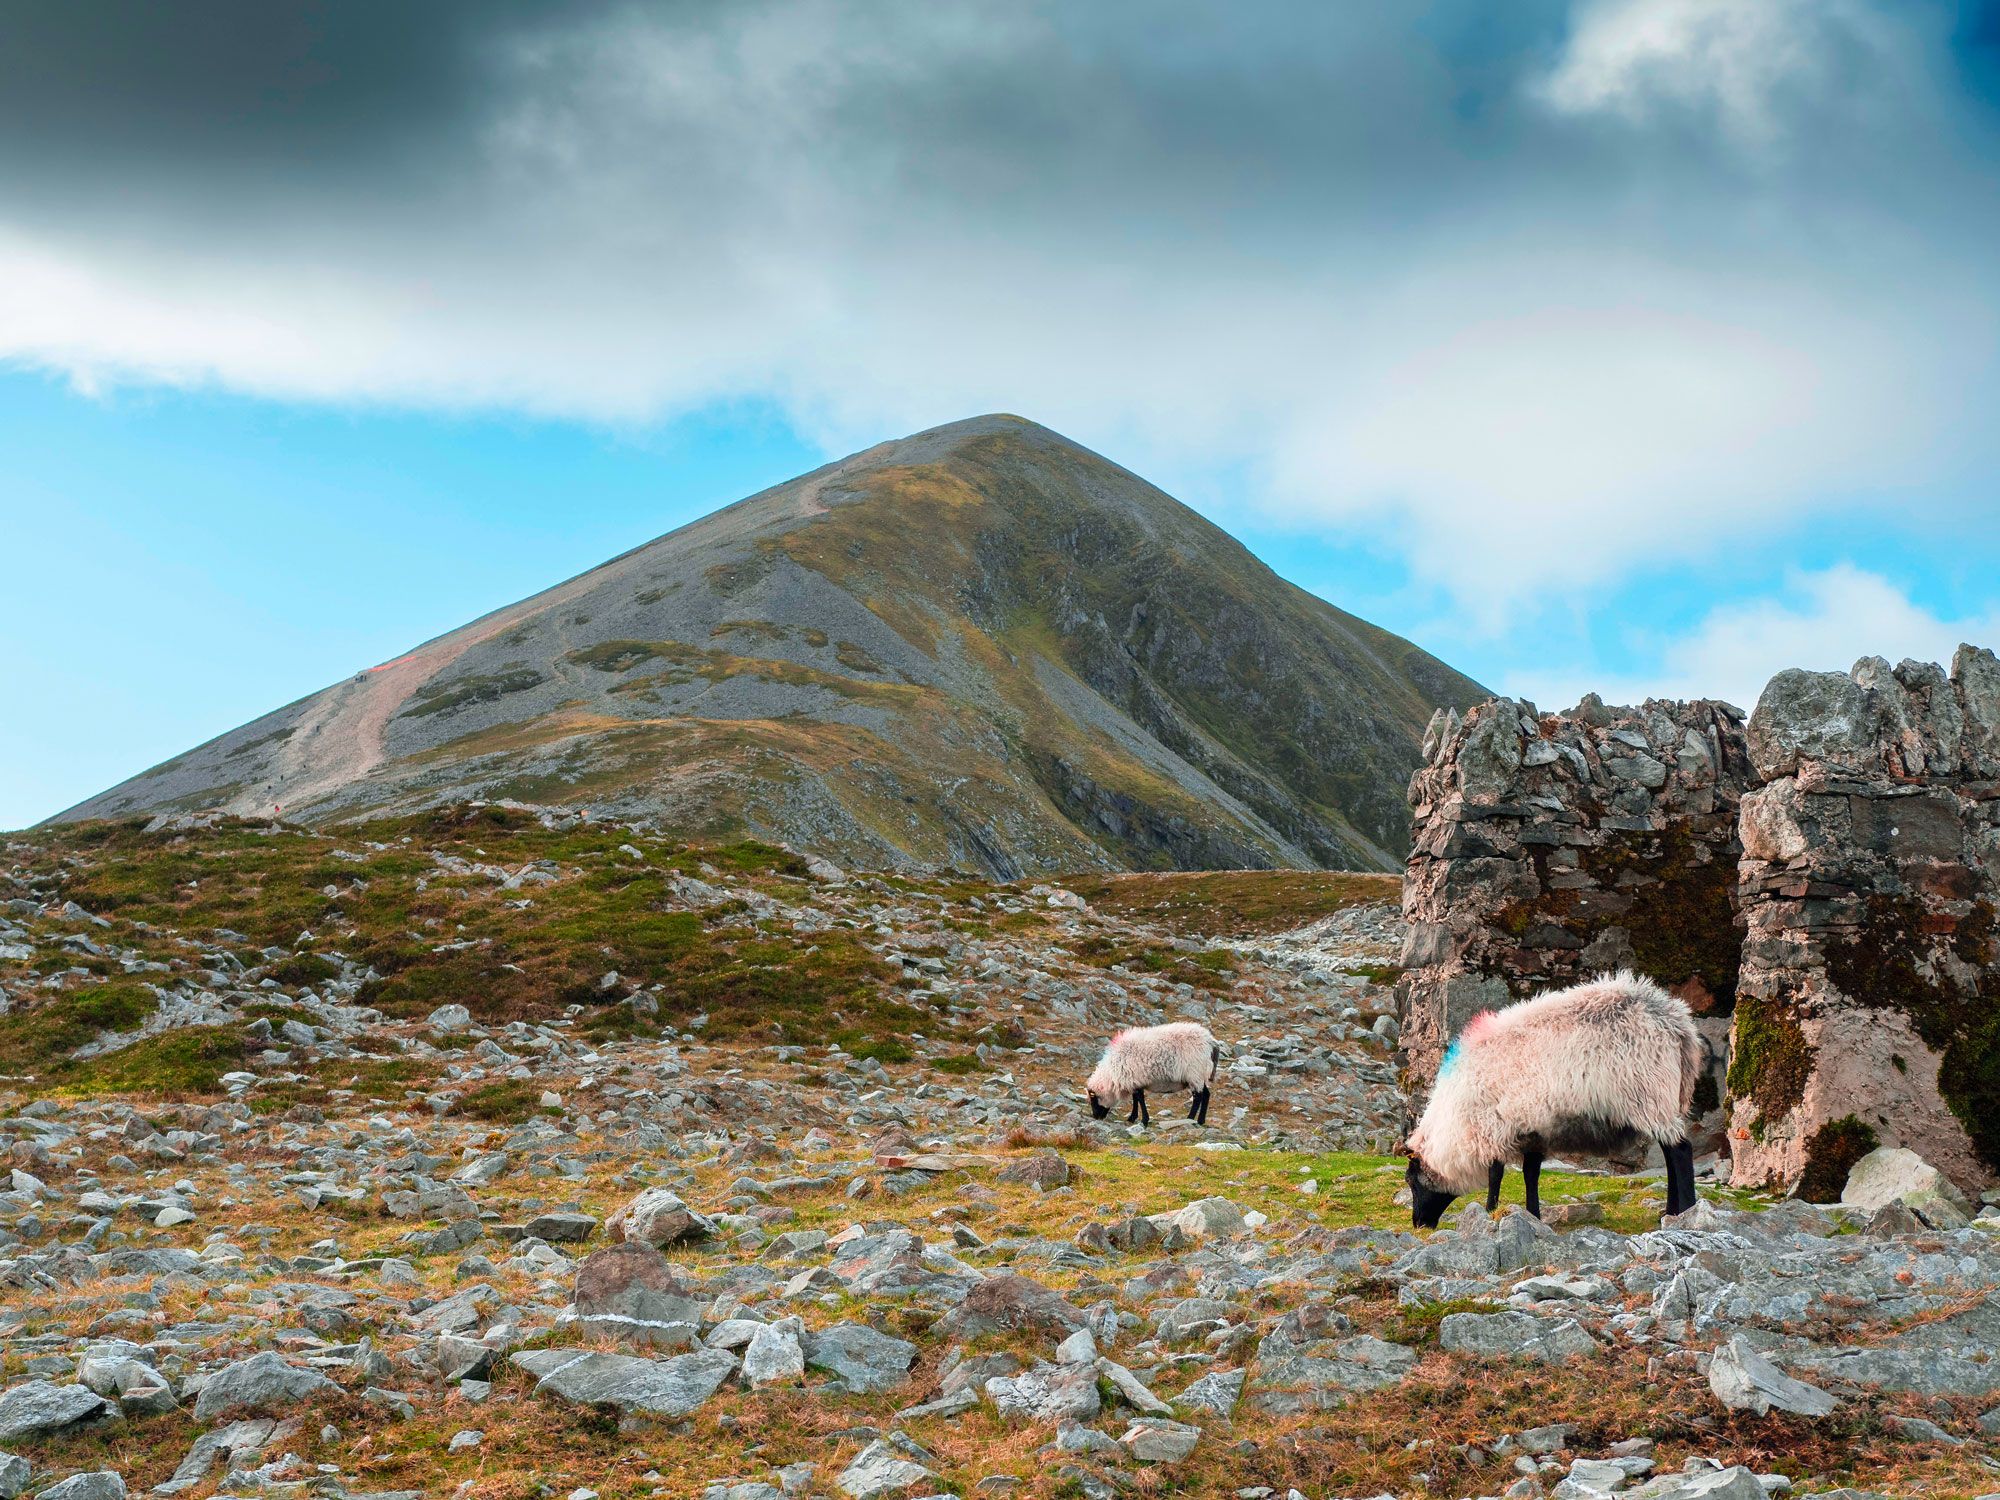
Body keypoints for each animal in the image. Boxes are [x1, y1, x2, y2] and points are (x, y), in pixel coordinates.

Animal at [1085, 1021, 1220, 1127]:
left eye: (1093, 1099)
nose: (1096, 1117)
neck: (1111, 1075)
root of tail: (1211, 1042)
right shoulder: (1135, 1080)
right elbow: (1136, 1099)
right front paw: (1133, 1118)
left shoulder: (1134, 1078)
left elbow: (1139, 1099)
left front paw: (1143, 1120)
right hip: (1199, 1075)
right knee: (1206, 1094)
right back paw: (1200, 1121)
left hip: (1195, 1073)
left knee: (1198, 1097)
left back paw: (1190, 1118)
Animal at [1400, 970, 1704, 1228]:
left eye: (1411, 1180)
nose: (1419, 1225)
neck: (1452, 1125)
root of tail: (1675, 1022)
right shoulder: (1532, 1130)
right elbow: (1530, 1173)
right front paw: (1533, 1214)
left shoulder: (1492, 1128)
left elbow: (1496, 1174)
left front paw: (1489, 1210)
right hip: (1659, 1100)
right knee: (1669, 1152)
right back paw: (1670, 1211)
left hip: (1650, 1095)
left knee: (1679, 1151)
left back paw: (1685, 1211)